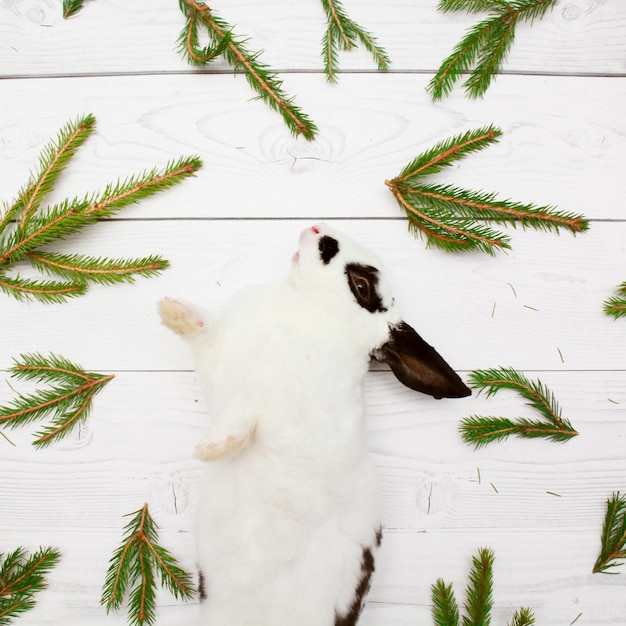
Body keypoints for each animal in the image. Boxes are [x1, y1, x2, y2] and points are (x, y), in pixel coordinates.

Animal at [157, 222, 468, 620]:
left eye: (361, 286)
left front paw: (213, 448)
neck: (311, 310)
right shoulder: (220, 359)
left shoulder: (268, 395)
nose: (317, 228)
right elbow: (204, 329)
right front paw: (170, 309)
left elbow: (244, 414)